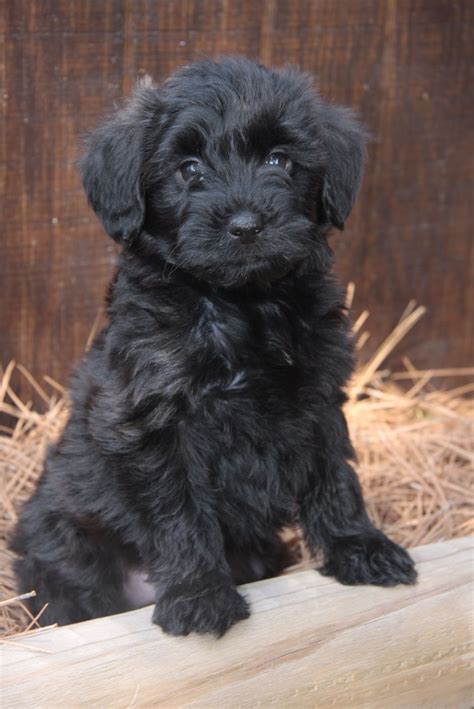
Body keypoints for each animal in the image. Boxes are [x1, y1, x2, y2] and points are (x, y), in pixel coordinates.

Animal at [12, 58, 414, 636]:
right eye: (189, 169)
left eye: (279, 160)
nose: (246, 225)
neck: (243, 305)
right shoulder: (155, 424)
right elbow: (181, 515)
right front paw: (198, 594)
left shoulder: (318, 398)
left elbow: (335, 478)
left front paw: (359, 546)